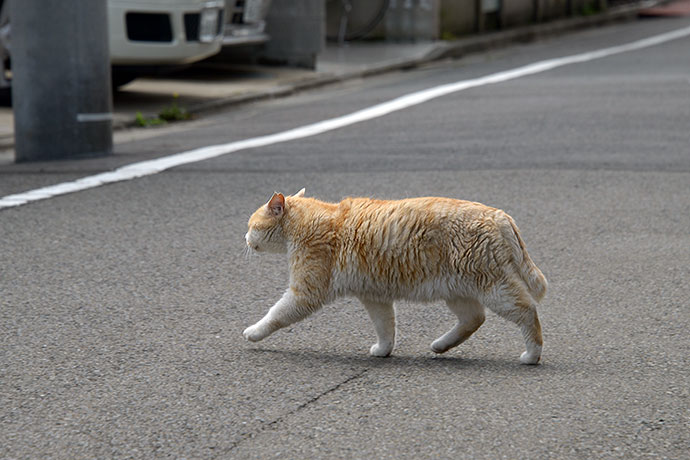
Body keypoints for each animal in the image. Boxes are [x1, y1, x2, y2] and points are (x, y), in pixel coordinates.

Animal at [245, 189, 544, 364]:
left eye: (250, 225)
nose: (244, 238)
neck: (313, 220)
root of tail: (499, 215)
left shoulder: (305, 292)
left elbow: (276, 315)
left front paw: (254, 332)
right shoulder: (375, 297)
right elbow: (386, 328)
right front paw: (383, 351)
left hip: (494, 287)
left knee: (528, 310)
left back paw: (532, 355)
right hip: (457, 290)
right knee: (474, 319)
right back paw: (441, 345)